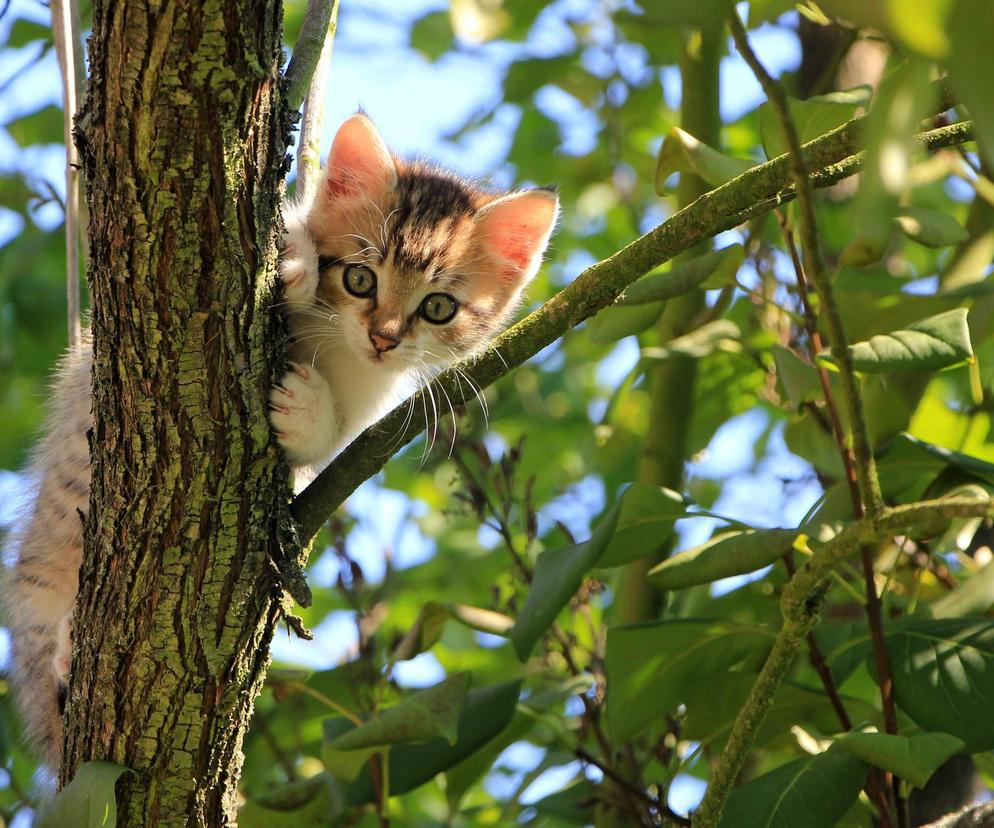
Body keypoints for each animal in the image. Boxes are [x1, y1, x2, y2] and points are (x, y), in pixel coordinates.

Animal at [0, 111, 560, 768]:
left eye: (439, 307)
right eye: (360, 277)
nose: (384, 338)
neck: (337, 347)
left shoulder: (368, 407)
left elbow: (330, 442)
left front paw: (306, 409)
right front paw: (294, 262)